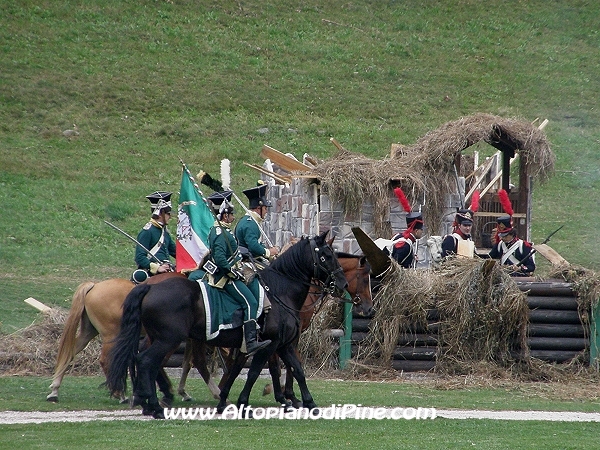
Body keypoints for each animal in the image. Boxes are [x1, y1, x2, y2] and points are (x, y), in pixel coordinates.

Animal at [105, 230, 344, 420]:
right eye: (326, 256)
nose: (341, 283)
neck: (279, 292)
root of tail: (149, 286)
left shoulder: (281, 345)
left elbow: (295, 370)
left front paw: (309, 403)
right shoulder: (270, 344)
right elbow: (254, 372)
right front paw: (245, 403)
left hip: (160, 339)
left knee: (144, 360)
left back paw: (148, 402)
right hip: (168, 340)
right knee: (148, 362)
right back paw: (155, 406)